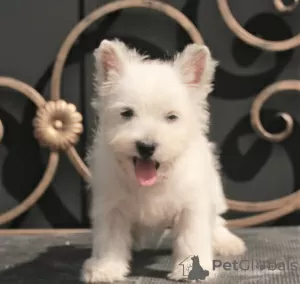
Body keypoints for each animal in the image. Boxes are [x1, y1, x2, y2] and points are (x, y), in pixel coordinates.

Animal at [81, 38, 245, 282]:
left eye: (171, 117)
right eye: (127, 113)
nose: (146, 146)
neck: (152, 182)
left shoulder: (192, 205)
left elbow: (191, 237)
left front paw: (190, 270)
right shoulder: (111, 206)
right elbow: (109, 240)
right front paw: (106, 268)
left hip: (214, 190)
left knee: (217, 220)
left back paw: (227, 242)